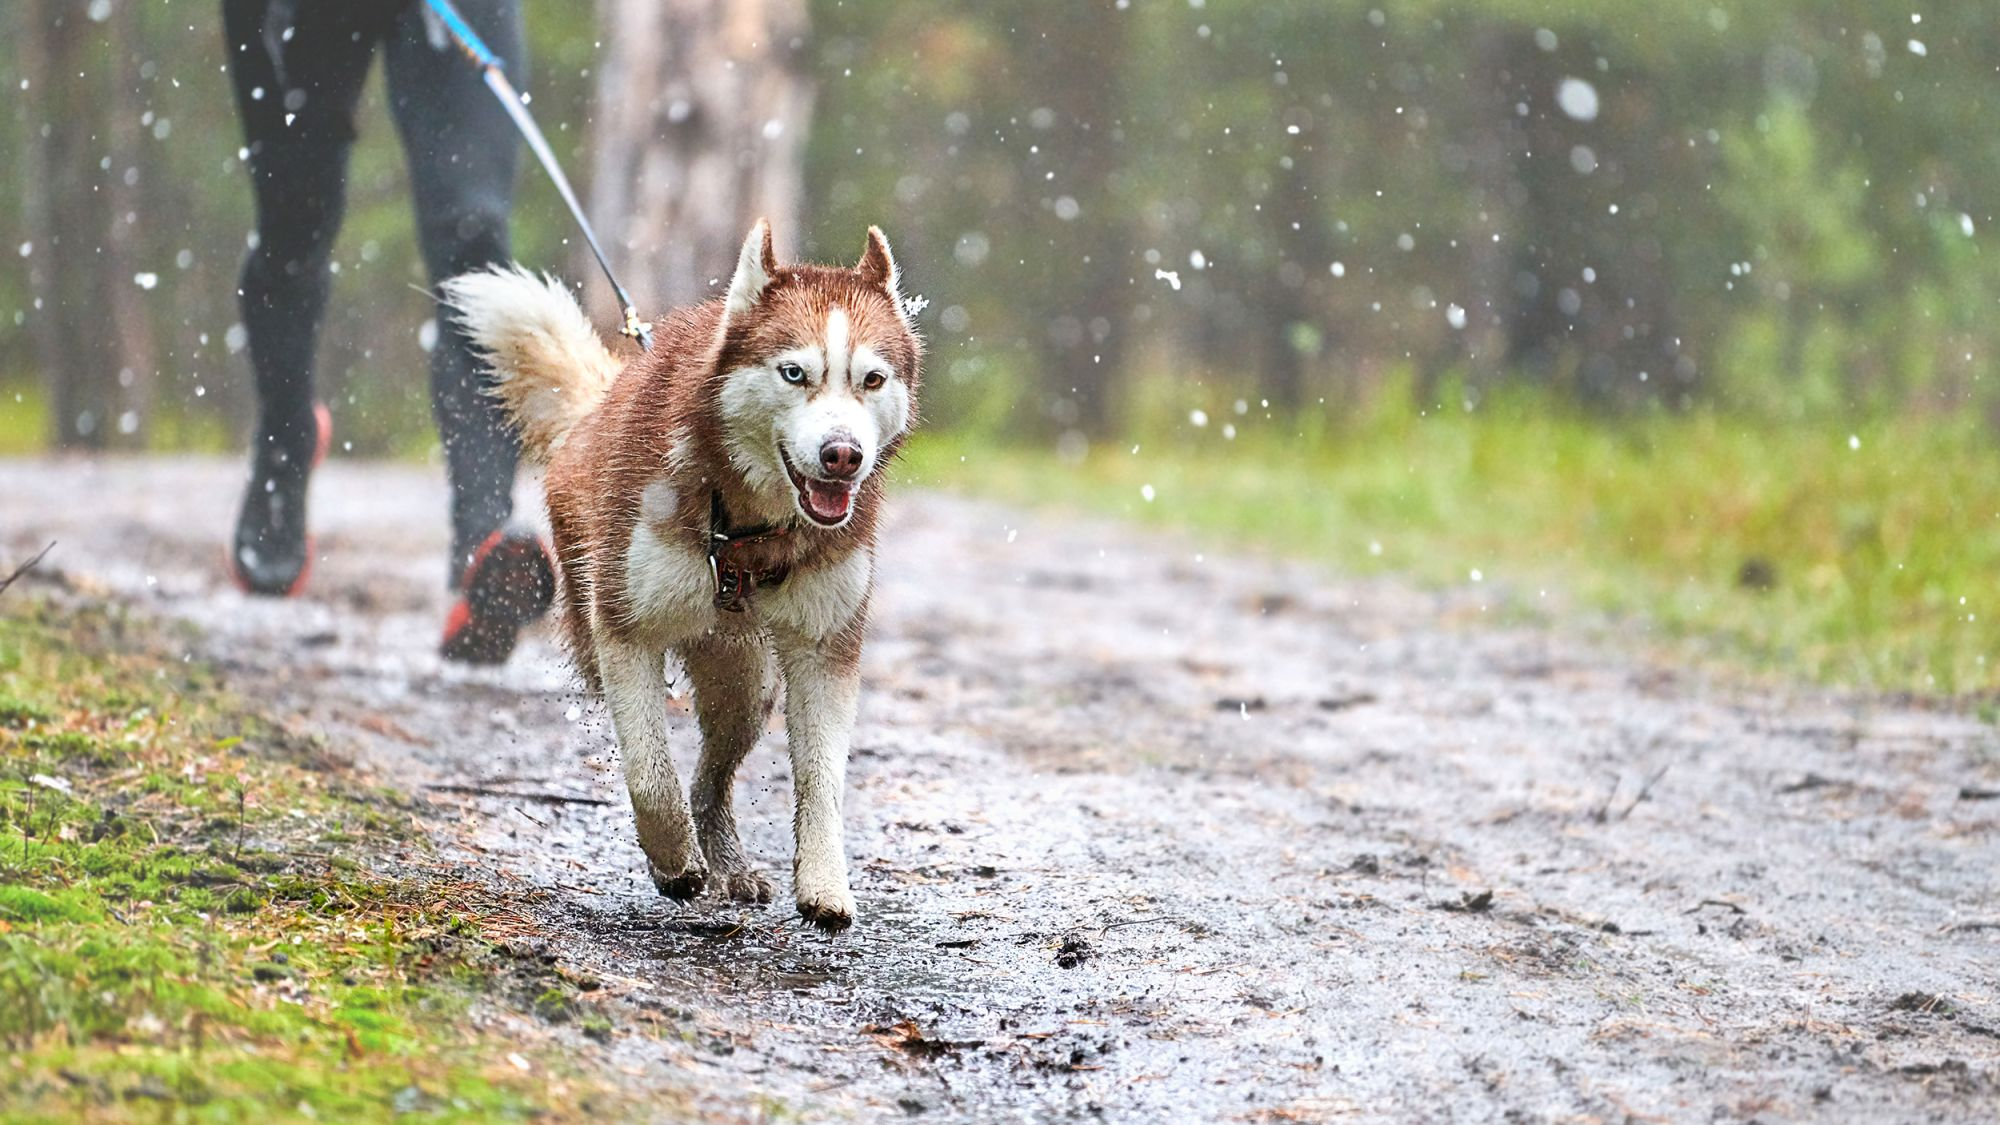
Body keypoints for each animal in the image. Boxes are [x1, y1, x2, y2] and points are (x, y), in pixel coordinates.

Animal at [442, 221, 916, 928]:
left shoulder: (826, 648)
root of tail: (603, 401)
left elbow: (823, 780)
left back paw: (729, 861)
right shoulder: (625, 630)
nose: (842, 455)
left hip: (745, 682)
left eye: (873, 379)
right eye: (795, 372)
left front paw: (825, 882)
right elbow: (649, 774)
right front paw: (672, 860)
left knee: (710, 778)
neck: (750, 526)